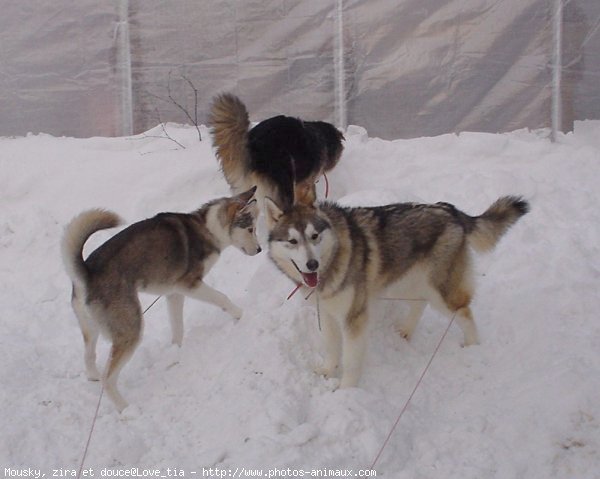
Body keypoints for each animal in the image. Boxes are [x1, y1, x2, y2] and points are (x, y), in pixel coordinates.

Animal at [264, 189, 528, 388]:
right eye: (292, 241)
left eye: (315, 236)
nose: (312, 264)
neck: (334, 257)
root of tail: (451, 211)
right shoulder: (328, 313)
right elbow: (331, 348)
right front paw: (328, 371)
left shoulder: (354, 318)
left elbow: (351, 360)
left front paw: (345, 391)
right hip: (403, 282)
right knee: (421, 302)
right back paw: (405, 331)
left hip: (440, 292)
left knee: (464, 311)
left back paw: (472, 346)